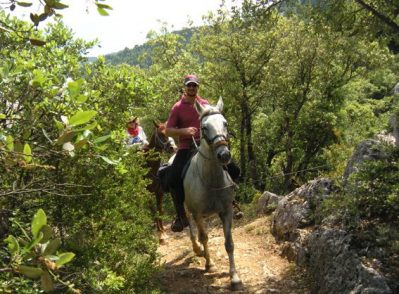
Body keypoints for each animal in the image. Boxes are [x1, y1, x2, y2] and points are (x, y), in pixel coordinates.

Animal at [184, 97, 244, 290]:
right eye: (204, 127)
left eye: (225, 123)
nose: (224, 154)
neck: (211, 179)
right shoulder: (198, 213)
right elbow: (204, 237)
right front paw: (209, 264)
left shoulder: (226, 211)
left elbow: (229, 243)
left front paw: (234, 277)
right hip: (185, 208)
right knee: (190, 226)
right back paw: (198, 250)